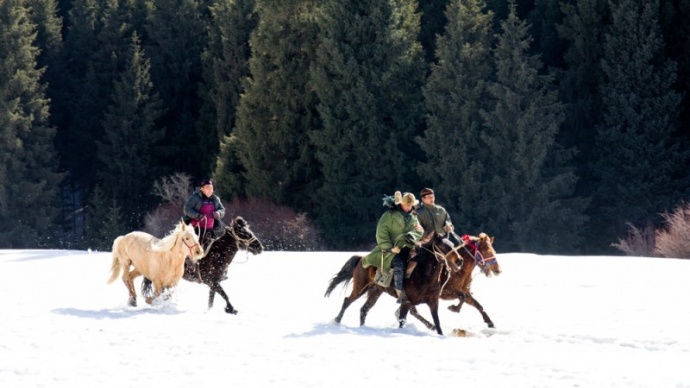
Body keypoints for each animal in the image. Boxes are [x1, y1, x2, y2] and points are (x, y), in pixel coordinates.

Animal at [326, 233, 464, 336]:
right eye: (443, 246)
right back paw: (337, 320)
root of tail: (361, 259)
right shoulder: (406, 303)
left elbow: (438, 323)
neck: (423, 275)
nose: (459, 260)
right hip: (360, 288)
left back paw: (363, 327)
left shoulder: (433, 302)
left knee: (364, 309)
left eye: (452, 245)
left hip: (376, 291)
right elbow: (402, 321)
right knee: (347, 301)